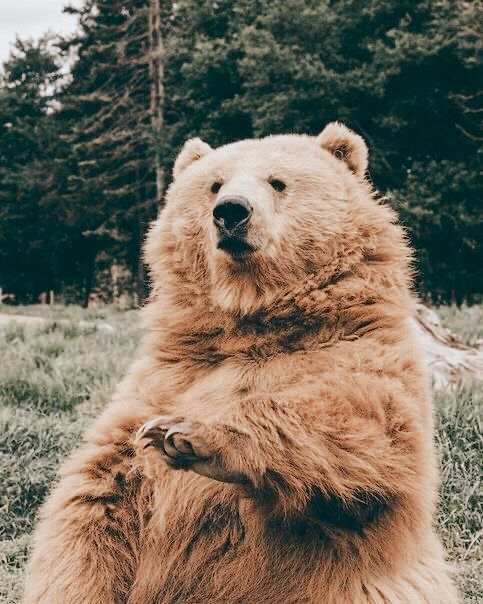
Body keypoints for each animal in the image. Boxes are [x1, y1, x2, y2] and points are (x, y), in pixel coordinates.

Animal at [24, 124, 460, 604]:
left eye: (278, 181)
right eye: (215, 184)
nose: (231, 211)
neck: (252, 321)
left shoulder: (364, 348)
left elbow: (366, 424)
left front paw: (191, 434)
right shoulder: (167, 376)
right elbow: (96, 496)